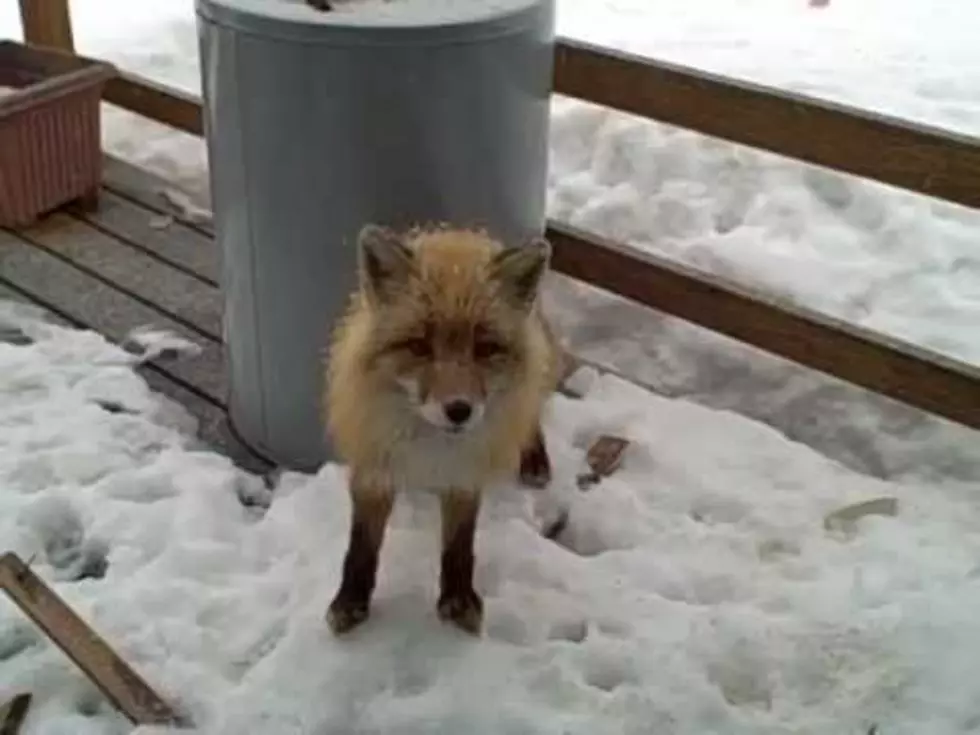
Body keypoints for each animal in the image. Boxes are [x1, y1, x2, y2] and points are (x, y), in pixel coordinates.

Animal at [324, 224, 564, 640]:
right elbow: (361, 546)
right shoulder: (373, 467)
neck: (432, 448)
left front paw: (457, 601)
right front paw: (351, 601)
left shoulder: (464, 475)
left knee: (531, 410)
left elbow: (458, 547)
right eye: (419, 345)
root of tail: (462, 234)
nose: (459, 411)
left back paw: (534, 457)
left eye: (485, 348)